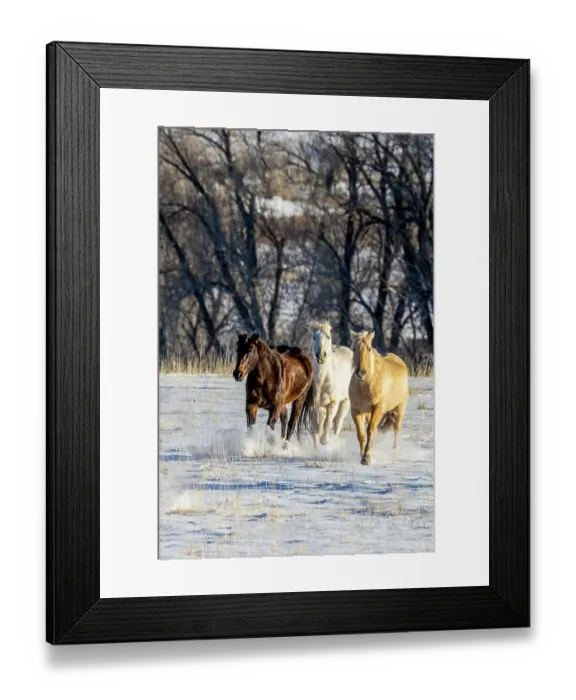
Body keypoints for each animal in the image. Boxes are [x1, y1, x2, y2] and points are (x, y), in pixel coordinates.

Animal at [349, 330, 409, 465]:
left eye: (369, 348)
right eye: (353, 349)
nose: (361, 373)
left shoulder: (377, 408)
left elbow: (370, 430)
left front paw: (366, 458)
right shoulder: (356, 410)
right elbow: (361, 434)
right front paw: (362, 455)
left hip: (400, 409)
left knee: (396, 431)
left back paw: (394, 452)